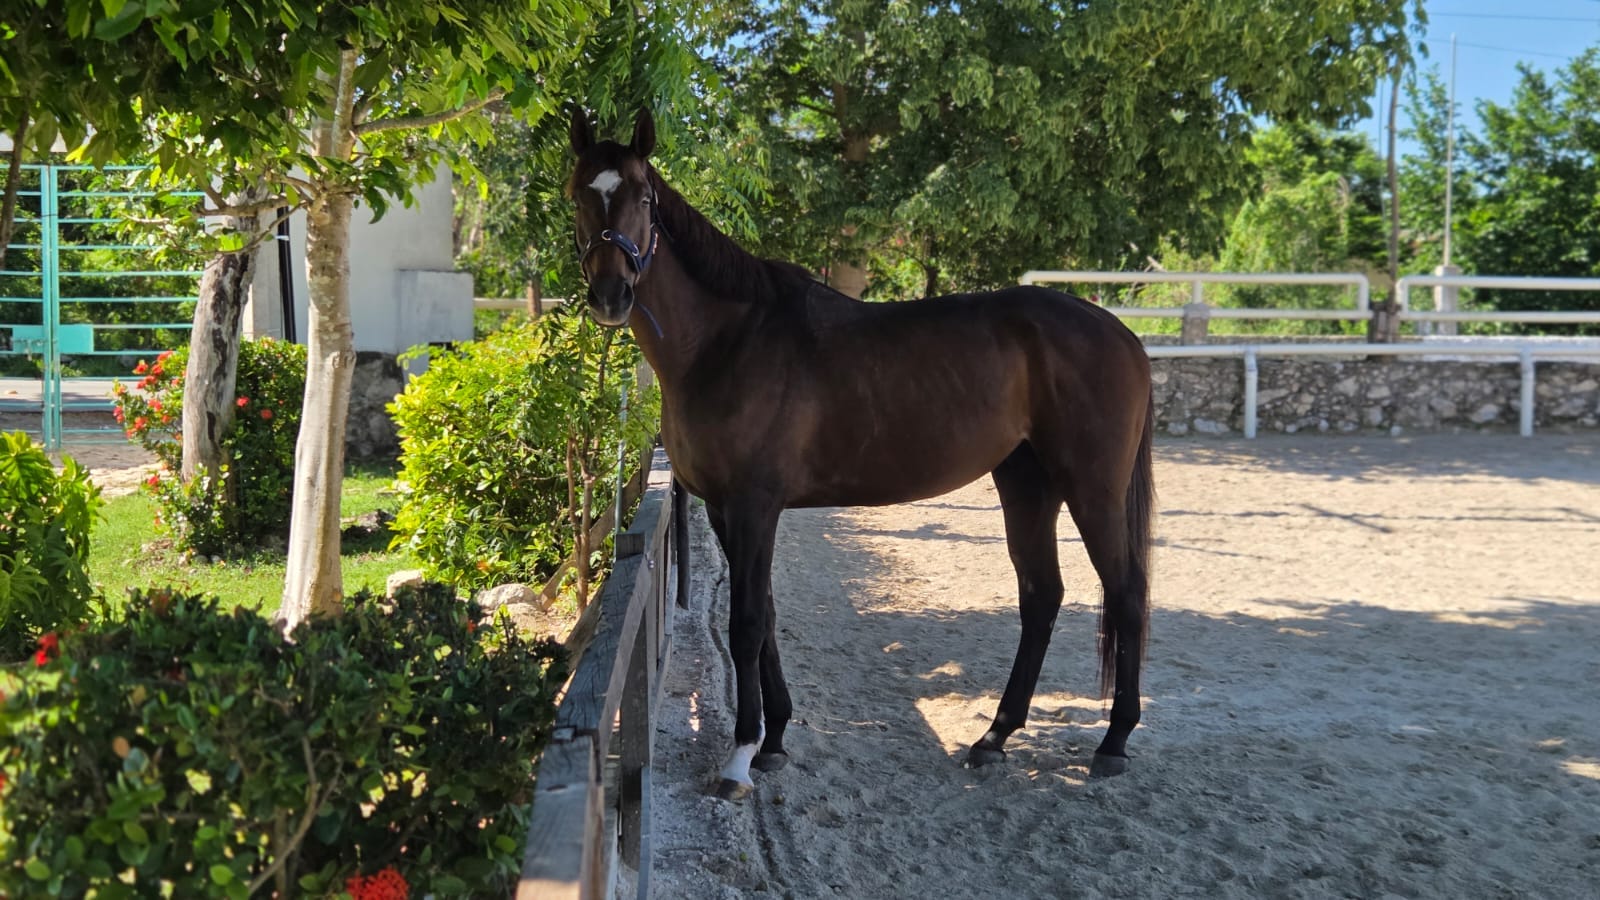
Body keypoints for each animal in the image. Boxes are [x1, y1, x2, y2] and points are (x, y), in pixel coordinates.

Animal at [568, 107, 1155, 801]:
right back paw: (994, 738)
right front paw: (775, 739)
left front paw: (741, 756)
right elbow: (766, 617)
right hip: (1026, 483)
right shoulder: (722, 509)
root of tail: (1120, 333)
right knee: (1041, 595)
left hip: (1092, 489)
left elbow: (746, 623)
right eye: (580, 194)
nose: (612, 294)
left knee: (1125, 592)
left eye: (643, 196)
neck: (728, 340)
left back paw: (1113, 741)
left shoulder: (754, 505)